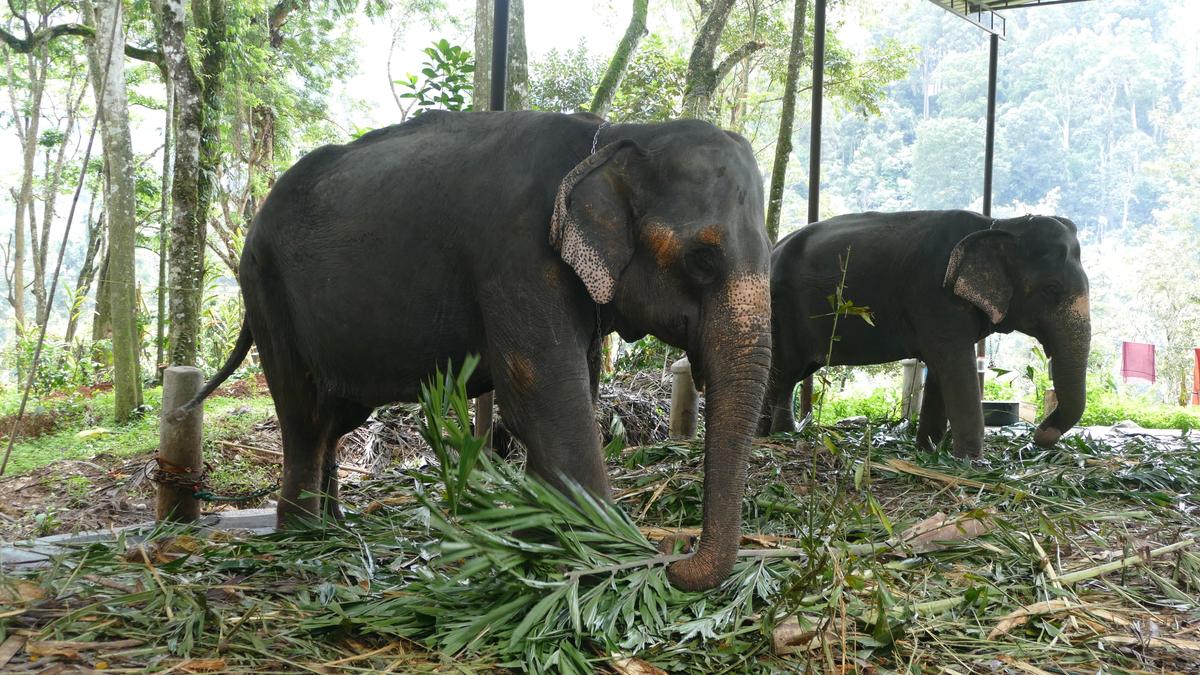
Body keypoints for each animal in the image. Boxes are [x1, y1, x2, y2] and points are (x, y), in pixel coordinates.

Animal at [177, 110, 772, 591]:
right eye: (702, 260)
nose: (675, 552)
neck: (615, 137)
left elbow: (575, 385)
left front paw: (545, 534)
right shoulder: (516, 255)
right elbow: (543, 391)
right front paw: (608, 549)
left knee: (333, 420)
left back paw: (335, 527)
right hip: (266, 288)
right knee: (304, 414)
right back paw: (305, 538)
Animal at [761, 210, 1090, 458]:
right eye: (1052, 290)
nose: (1039, 436)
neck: (1001, 224)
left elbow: (941, 369)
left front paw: (928, 452)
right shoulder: (935, 296)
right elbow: (955, 365)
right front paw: (972, 464)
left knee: (791, 373)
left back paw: (782, 434)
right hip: (778, 309)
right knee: (782, 371)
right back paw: (765, 437)